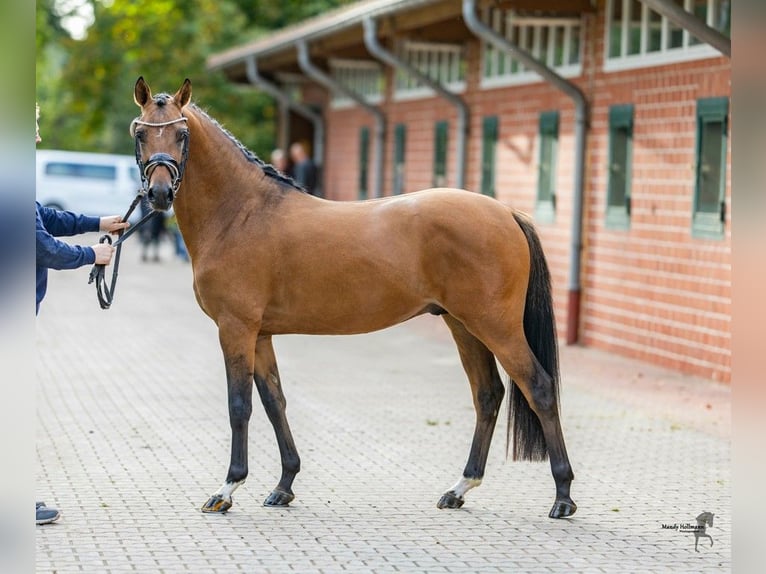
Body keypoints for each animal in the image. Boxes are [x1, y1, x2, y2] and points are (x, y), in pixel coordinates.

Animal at [130, 77, 576, 520]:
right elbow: (275, 401)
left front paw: (227, 489)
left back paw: (562, 496)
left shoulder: (236, 329)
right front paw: (284, 485)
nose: (160, 193)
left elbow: (239, 405)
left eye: (182, 134)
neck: (242, 214)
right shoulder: (260, 334)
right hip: (463, 325)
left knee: (539, 388)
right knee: (487, 395)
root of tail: (506, 213)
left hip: (496, 327)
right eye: (140, 134)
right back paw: (459, 488)